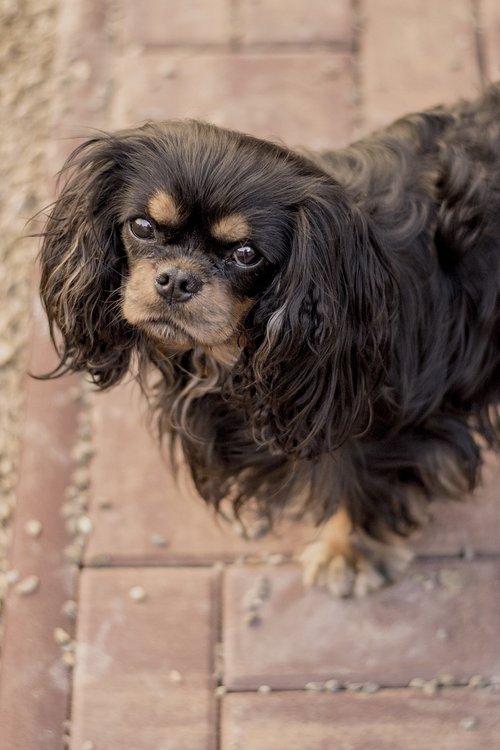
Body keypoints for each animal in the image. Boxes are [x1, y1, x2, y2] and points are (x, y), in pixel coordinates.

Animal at [40, 83, 500, 600]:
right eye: (142, 226)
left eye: (246, 254)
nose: (176, 279)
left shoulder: (382, 413)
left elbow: (355, 473)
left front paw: (346, 552)